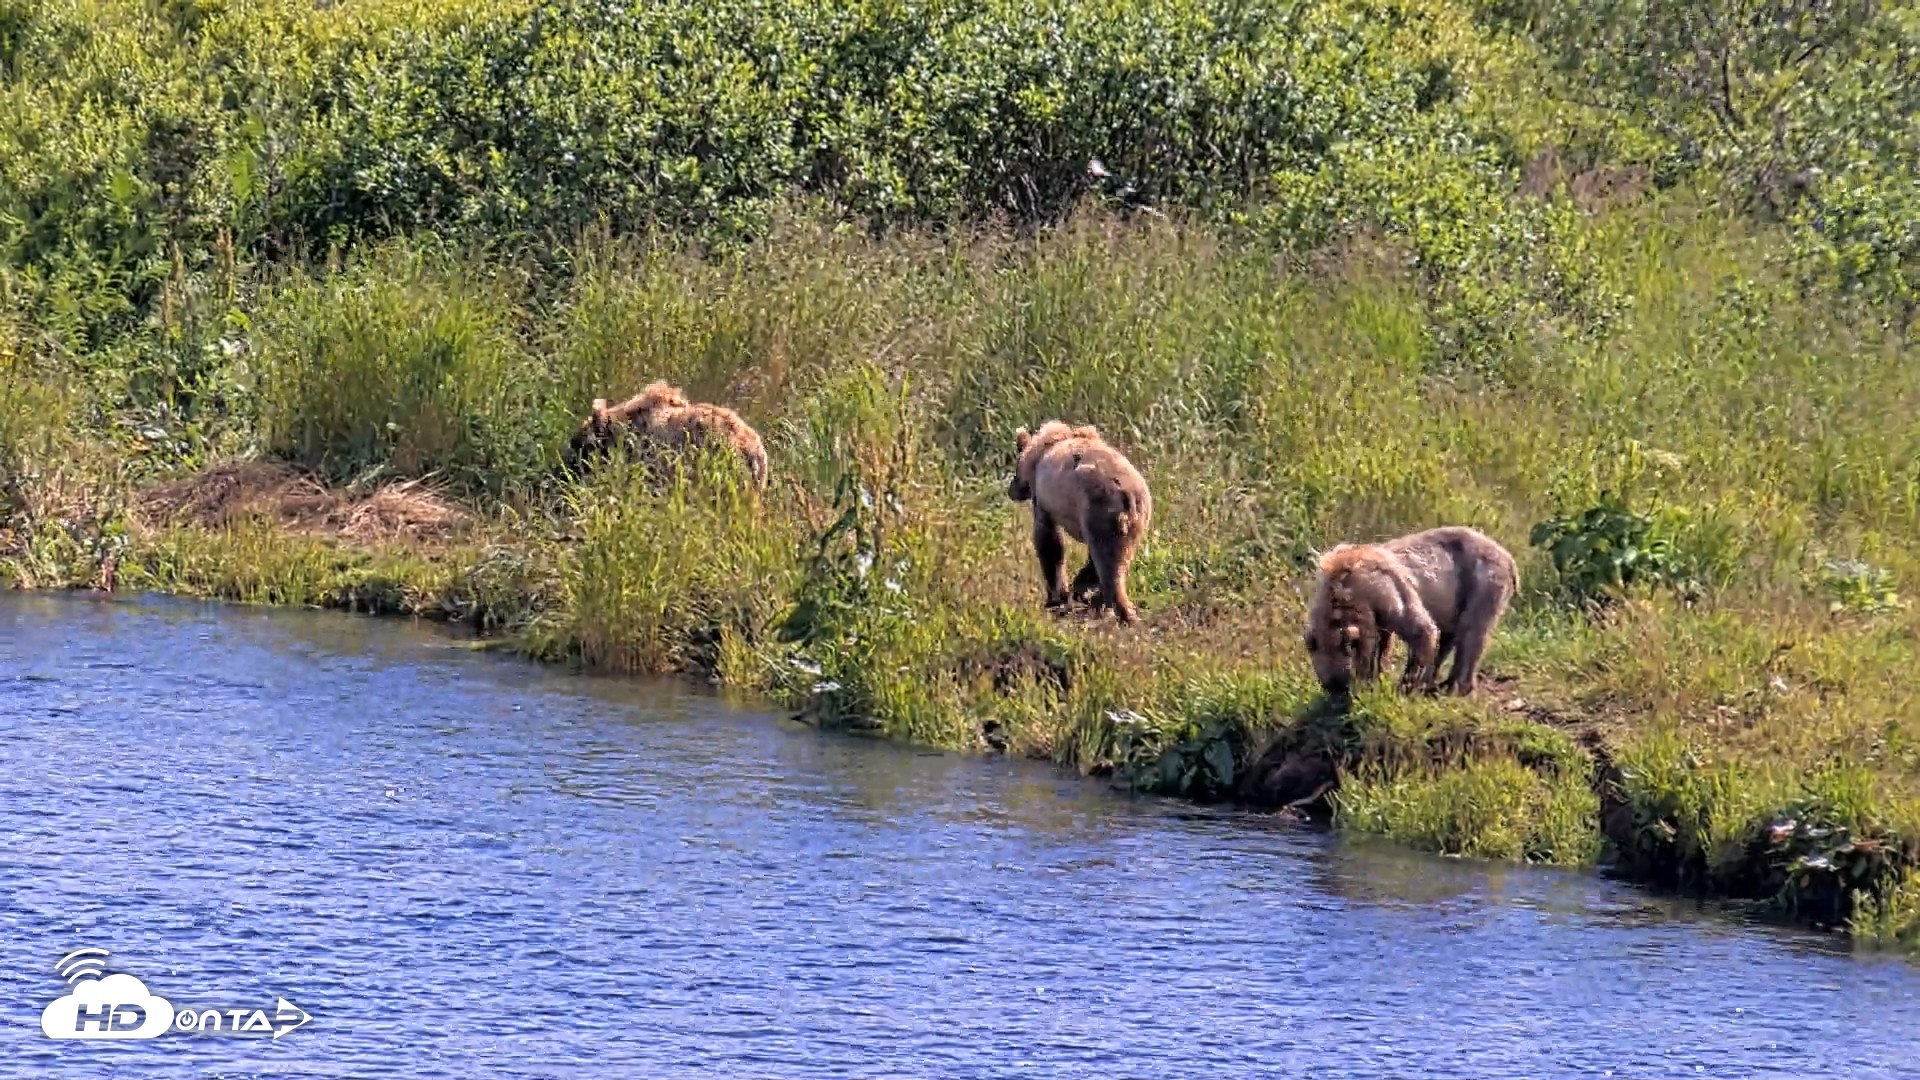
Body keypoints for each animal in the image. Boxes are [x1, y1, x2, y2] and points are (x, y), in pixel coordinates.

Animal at [1006, 420, 1152, 625]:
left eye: (1015, 469)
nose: (1011, 490)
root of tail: (1126, 494)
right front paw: (1078, 588)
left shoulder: (1045, 501)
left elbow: (1049, 543)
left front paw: (1056, 596)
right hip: (1136, 518)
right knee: (1117, 558)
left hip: (1099, 509)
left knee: (1108, 562)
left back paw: (1119, 611)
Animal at [1302, 525, 1518, 698]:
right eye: (1328, 683)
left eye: (1341, 682)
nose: (1337, 692)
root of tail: (1508, 556)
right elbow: (1383, 643)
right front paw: (1377, 676)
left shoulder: (1385, 590)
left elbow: (1420, 628)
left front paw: (1403, 686)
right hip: (1455, 599)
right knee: (1450, 635)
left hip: (1482, 581)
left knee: (1471, 632)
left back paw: (1454, 686)